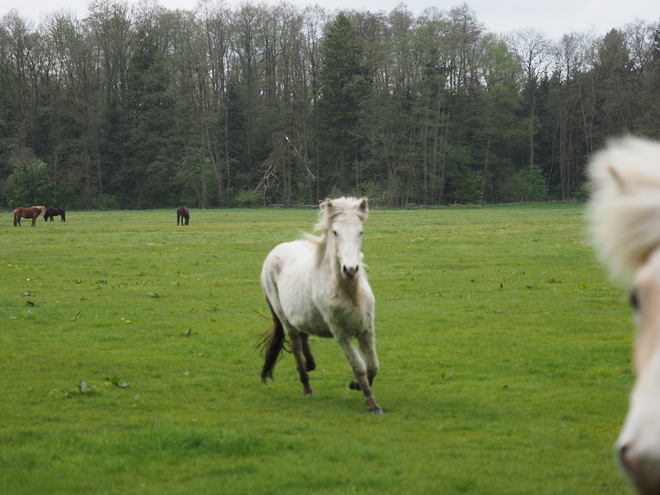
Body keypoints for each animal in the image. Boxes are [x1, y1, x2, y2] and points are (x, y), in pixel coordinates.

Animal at [258, 198, 382, 414]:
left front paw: (356, 385)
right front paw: (372, 405)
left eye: (360, 231)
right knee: (296, 345)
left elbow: (373, 365)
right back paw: (307, 386)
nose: (350, 269)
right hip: (285, 320)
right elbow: (358, 365)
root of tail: (276, 250)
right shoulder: (340, 332)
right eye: (335, 232)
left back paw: (310, 364)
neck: (348, 292)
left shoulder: (366, 327)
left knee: (304, 336)